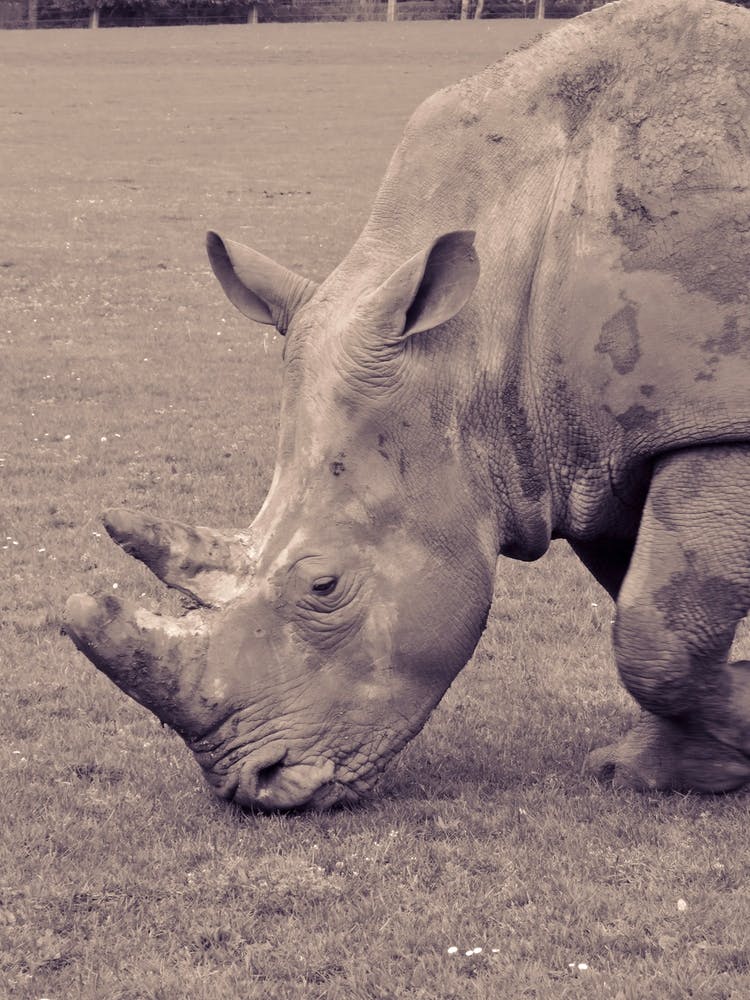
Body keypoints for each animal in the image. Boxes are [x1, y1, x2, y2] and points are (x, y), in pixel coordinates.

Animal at [64, 0, 750, 811]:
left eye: (325, 586)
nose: (258, 788)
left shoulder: (710, 427)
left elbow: (653, 636)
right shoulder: (596, 446)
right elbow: (650, 610)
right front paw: (677, 763)